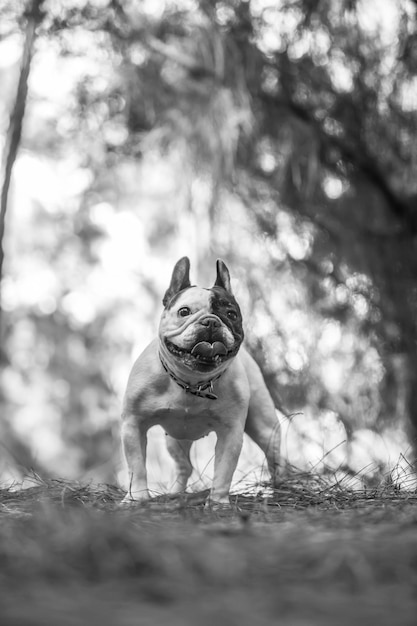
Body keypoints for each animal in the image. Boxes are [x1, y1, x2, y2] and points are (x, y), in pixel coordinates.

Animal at [121, 256, 282, 504]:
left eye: (231, 314)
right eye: (184, 311)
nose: (211, 322)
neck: (191, 382)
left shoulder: (230, 433)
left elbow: (223, 471)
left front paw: (218, 503)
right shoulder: (133, 424)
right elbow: (136, 467)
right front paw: (136, 498)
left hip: (265, 427)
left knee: (275, 459)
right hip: (175, 437)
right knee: (184, 466)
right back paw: (175, 494)